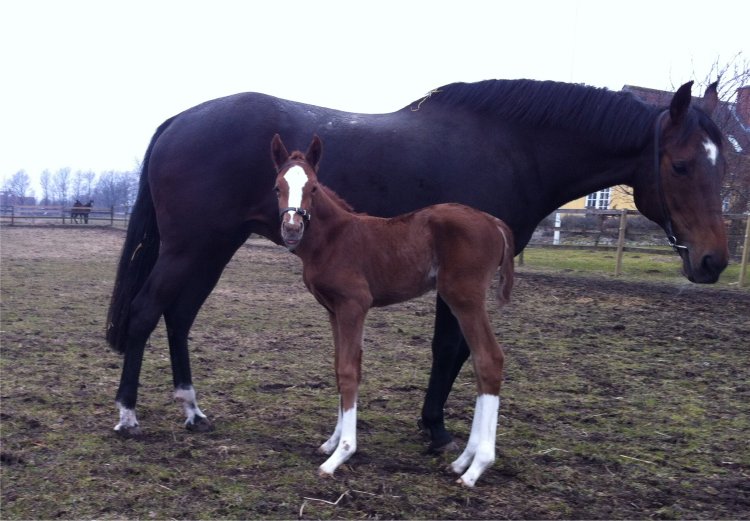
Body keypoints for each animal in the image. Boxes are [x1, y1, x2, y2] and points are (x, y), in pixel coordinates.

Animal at [272, 135, 516, 488]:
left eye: (314, 187)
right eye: (277, 187)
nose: (291, 228)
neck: (333, 239)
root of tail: (494, 222)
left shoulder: (354, 305)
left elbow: (349, 370)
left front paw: (341, 454)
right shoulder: (333, 309)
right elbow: (339, 368)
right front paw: (332, 442)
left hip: (464, 297)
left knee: (489, 359)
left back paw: (476, 468)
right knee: (480, 363)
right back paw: (461, 461)